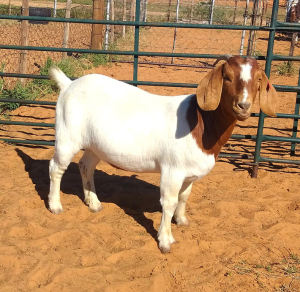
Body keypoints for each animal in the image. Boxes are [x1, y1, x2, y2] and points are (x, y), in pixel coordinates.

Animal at [48, 56, 276, 252]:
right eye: (227, 76)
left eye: (258, 79)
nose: (243, 106)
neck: (201, 124)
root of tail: (68, 84)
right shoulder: (172, 170)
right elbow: (169, 202)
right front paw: (165, 241)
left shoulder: (189, 173)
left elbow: (184, 196)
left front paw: (182, 220)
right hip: (67, 135)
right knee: (56, 168)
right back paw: (55, 205)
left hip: (95, 145)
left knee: (85, 166)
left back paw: (93, 203)